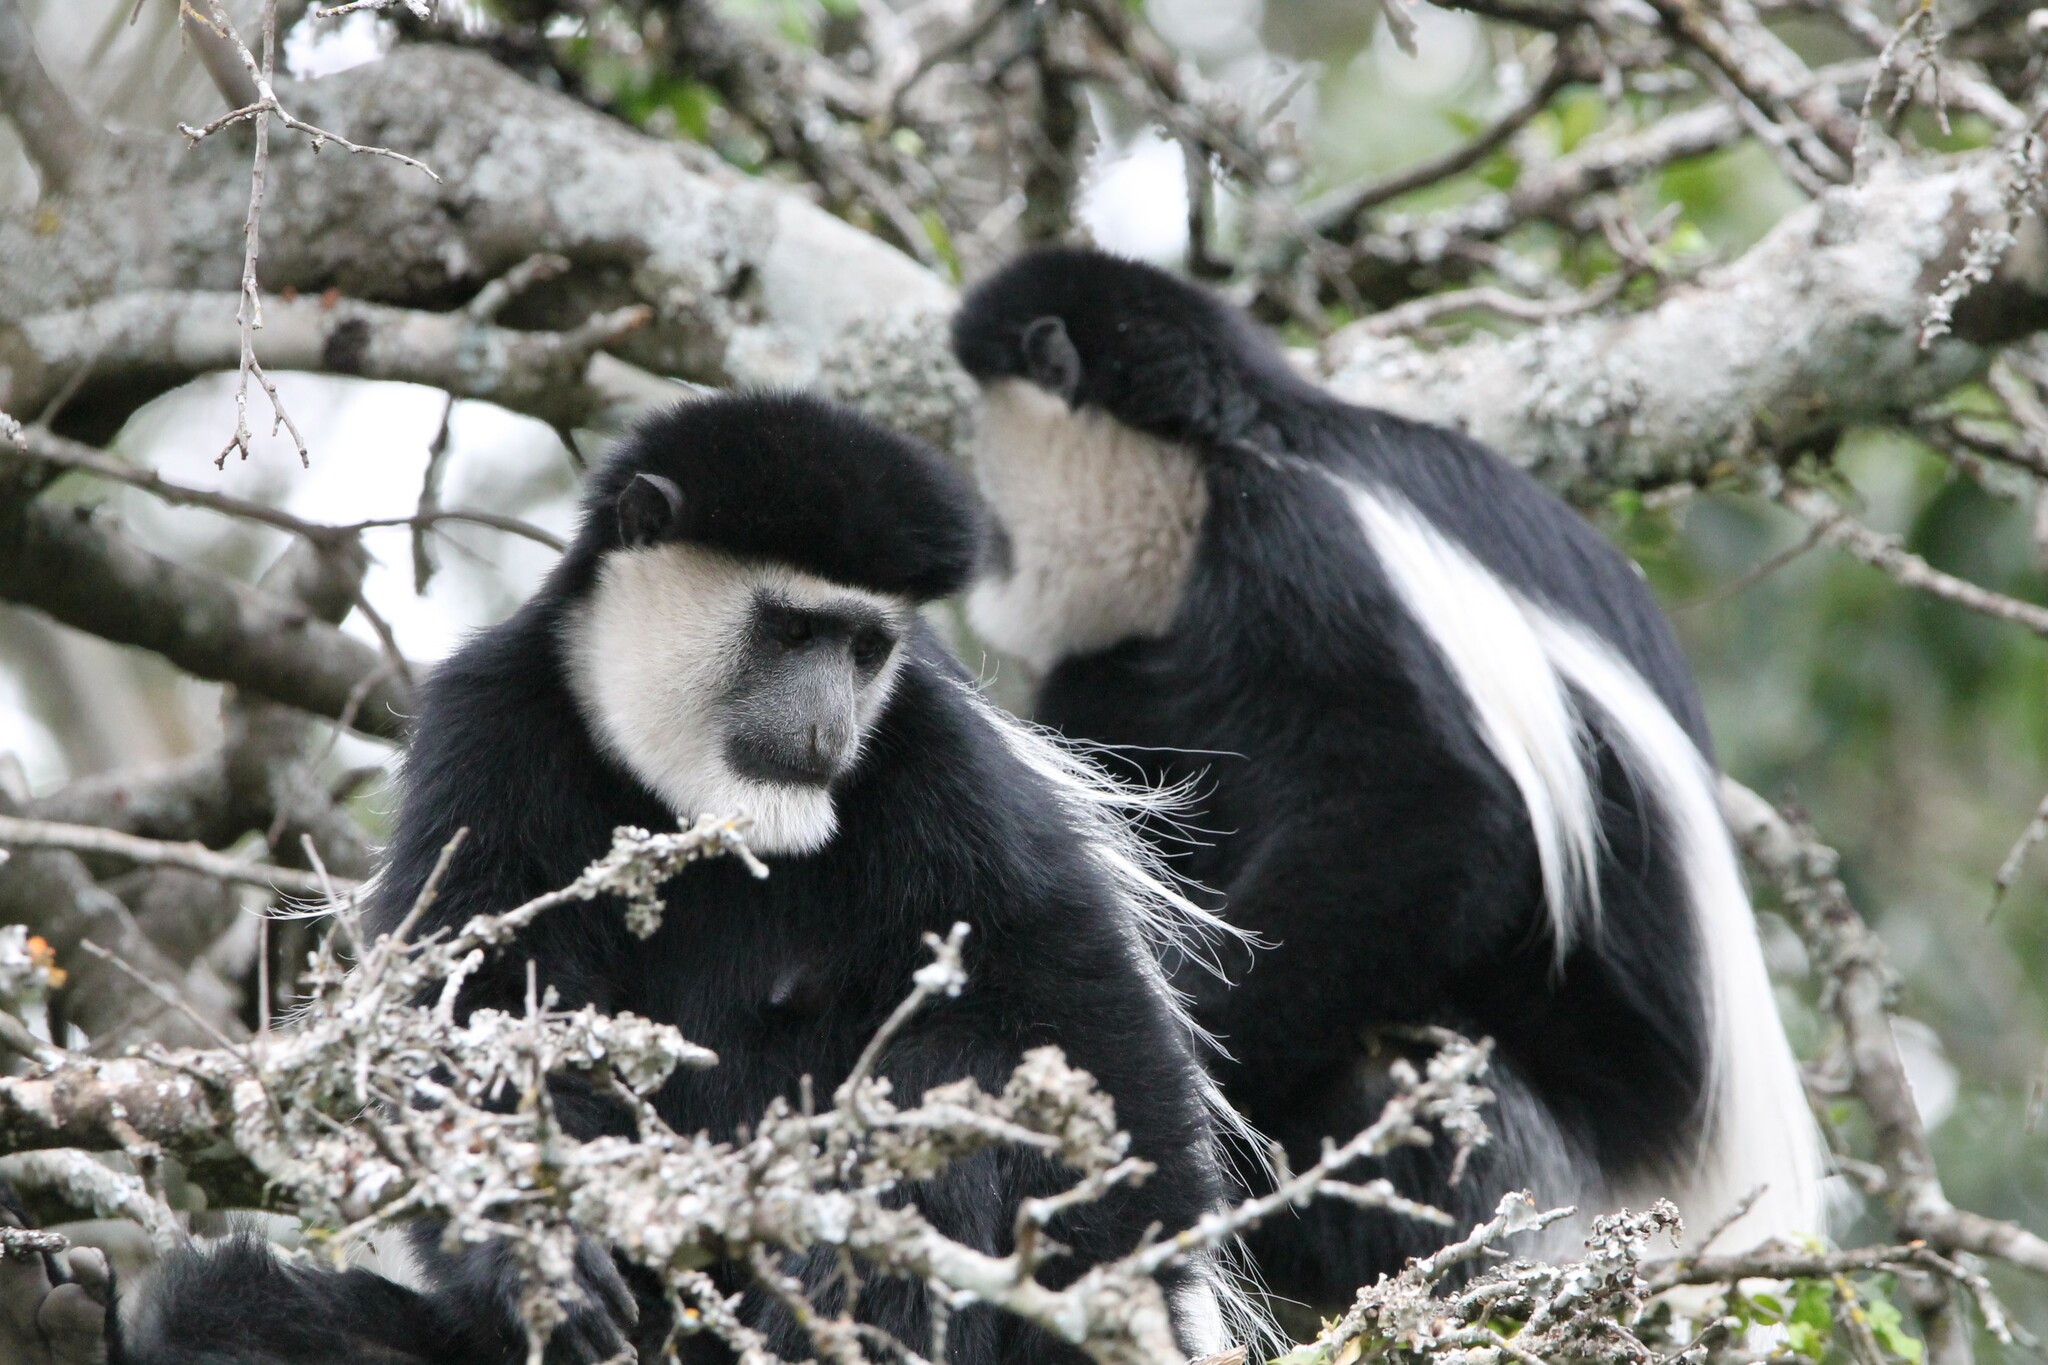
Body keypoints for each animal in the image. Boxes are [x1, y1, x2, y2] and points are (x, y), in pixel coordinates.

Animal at [128, 388, 1253, 1365]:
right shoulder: (489, 731)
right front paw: (534, 1253)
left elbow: (1092, 1040)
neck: (697, 801)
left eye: (865, 648)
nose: (824, 730)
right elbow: (476, 1009)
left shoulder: (940, 761)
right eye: (790, 631)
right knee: (218, 1314)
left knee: (955, 1105)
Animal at [942, 248, 1826, 1309]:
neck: (1231, 456)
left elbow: (1442, 814)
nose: (983, 545)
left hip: (1547, 1178)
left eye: (990, 457)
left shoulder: (1305, 547)